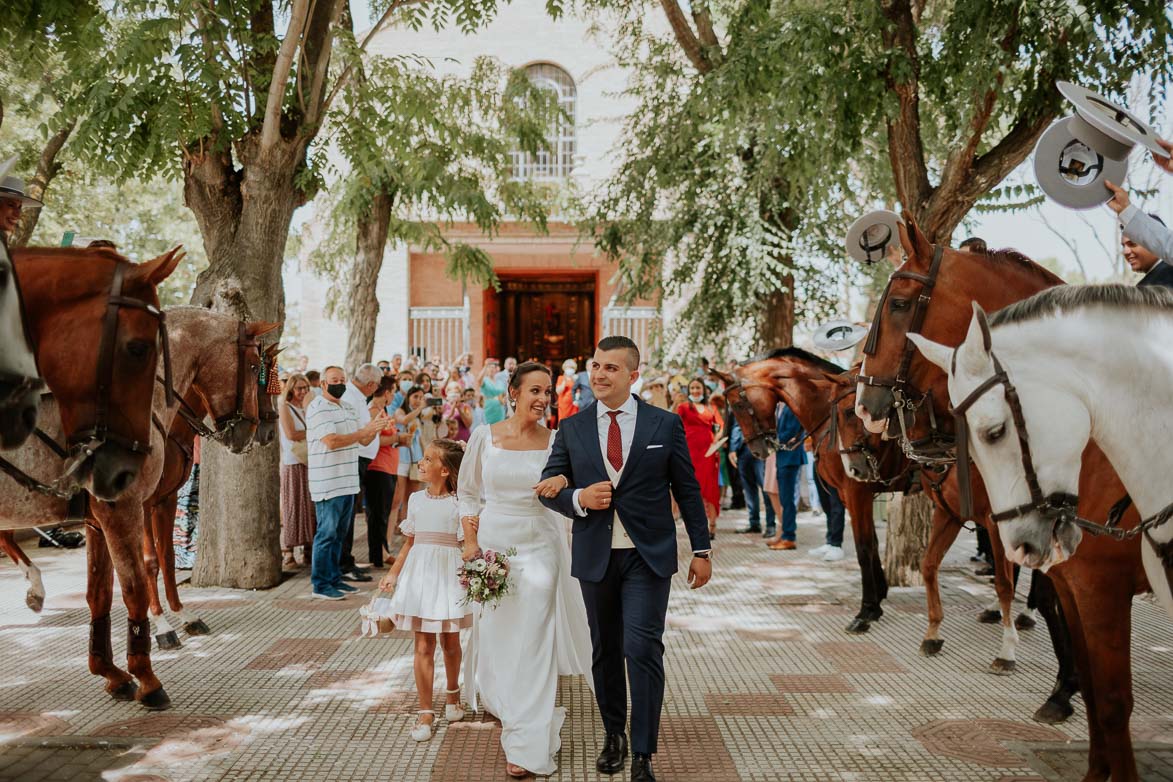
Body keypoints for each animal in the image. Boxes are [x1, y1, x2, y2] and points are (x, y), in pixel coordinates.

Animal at [717, 351, 910, 633]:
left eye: (738, 405)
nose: (757, 451)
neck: (830, 417)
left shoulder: (857, 491)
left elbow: (863, 547)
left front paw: (866, 610)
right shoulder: (848, 494)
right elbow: (873, 544)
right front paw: (878, 597)